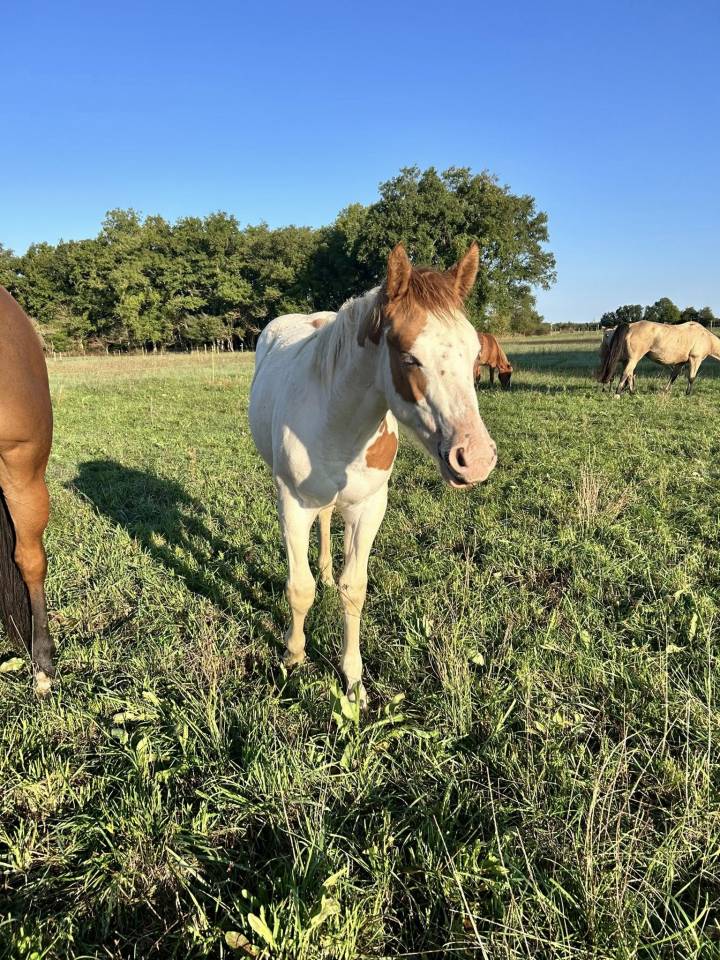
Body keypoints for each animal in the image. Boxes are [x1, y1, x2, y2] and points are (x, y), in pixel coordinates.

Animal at [249, 243, 497, 706]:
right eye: (409, 357)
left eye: (476, 356)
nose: (474, 459)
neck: (338, 420)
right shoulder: (291, 504)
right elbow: (299, 588)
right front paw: (293, 656)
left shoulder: (368, 507)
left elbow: (354, 589)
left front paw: (353, 682)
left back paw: (327, 572)